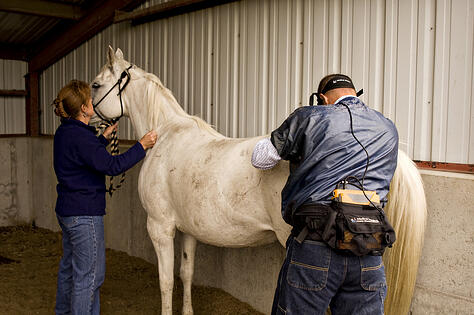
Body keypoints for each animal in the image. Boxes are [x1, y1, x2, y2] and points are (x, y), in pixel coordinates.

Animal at [90, 47, 428, 315]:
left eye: (95, 85)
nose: (90, 119)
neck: (165, 135)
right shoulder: (187, 229)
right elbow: (186, 273)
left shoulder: (160, 227)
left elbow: (165, 280)